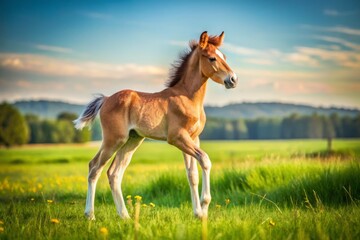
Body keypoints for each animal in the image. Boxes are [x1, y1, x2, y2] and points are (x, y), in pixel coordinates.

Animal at [74, 31, 238, 220]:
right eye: (212, 58)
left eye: (224, 56)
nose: (233, 79)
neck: (187, 97)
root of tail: (106, 99)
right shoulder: (177, 137)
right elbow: (205, 160)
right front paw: (204, 207)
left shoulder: (193, 138)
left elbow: (192, 174)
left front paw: (198, 213)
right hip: (113, 140)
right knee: (94, 168)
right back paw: (90, 215)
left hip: (132, 141)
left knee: (113, 173)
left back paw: (125, 216)